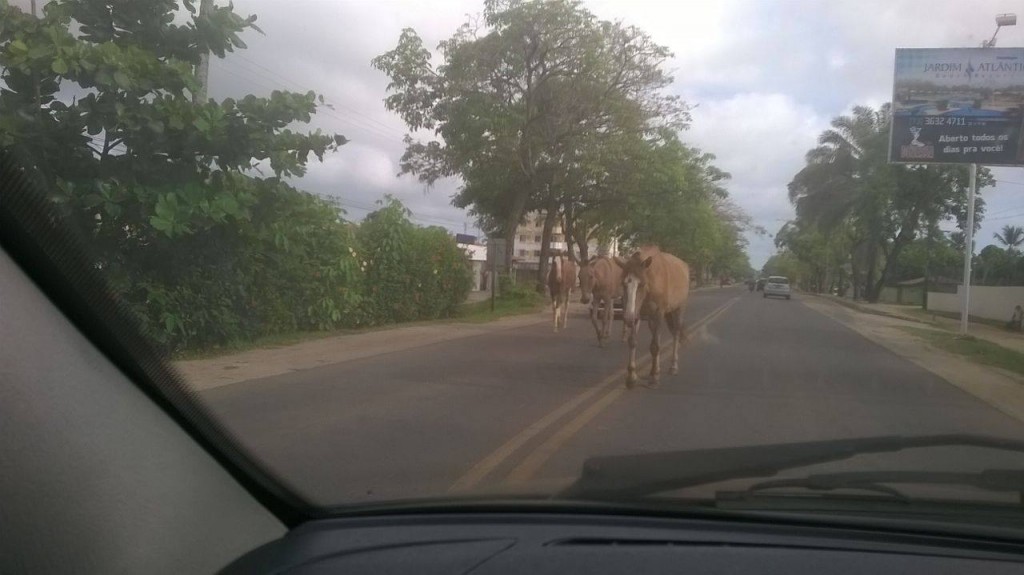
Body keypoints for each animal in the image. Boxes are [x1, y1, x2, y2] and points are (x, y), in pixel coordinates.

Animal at [610, 243, 692, 386]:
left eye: (641, 284)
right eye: (623, 283)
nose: (628, 318)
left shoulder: (658, 314)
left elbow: (655, 346)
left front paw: (654, 377)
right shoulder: (637, 313)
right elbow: (633, 341)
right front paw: (631, 376)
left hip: (679, 308)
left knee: (675, 333)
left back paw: (673, 367)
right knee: (657, 335)